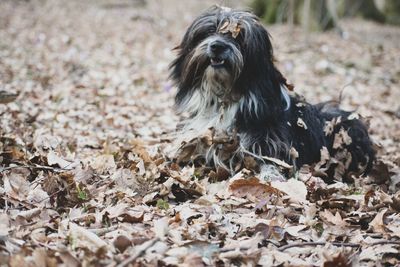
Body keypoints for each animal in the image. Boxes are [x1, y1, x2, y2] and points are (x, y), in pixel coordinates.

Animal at [170, 5, 376, 183]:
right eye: (209, 31)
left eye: (240, 37)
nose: (217, 46)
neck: (226, 96)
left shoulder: (273, 144)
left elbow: (271, 160)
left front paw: (270, 176)